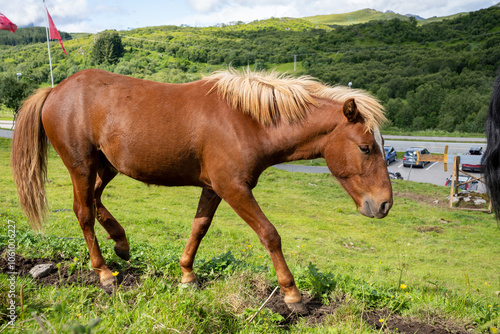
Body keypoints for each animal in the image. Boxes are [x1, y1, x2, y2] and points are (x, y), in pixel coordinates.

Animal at [10, 68, 390, 314]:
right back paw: (104, 273)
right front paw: (293, 295)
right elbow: (270, 234)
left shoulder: (214, 187)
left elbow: (199, 228)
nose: (384, 204)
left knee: (95, 200)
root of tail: (55, 90)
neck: (246, 121)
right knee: (84, 212)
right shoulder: (233, 187)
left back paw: (121, 242)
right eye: (366, 148)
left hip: (106, 167)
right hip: (83, 166)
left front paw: (187, 275)